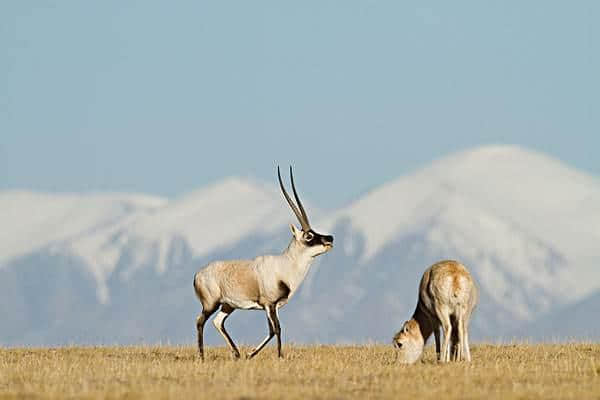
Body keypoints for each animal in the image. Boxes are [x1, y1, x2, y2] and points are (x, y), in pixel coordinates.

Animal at [192, 166, 332, 360]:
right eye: (309, 235)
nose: (330, 238)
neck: (286, 265)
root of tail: (198, 274)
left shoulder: (274, 306)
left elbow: (273, 330)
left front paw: (250, 354)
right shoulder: (269, 304)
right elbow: (277, 329)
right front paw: (279, 356)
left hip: (228, 306)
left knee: (217, 322)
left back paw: (237, 353)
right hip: (210, 304)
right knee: (200, 321)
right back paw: (202, 356)